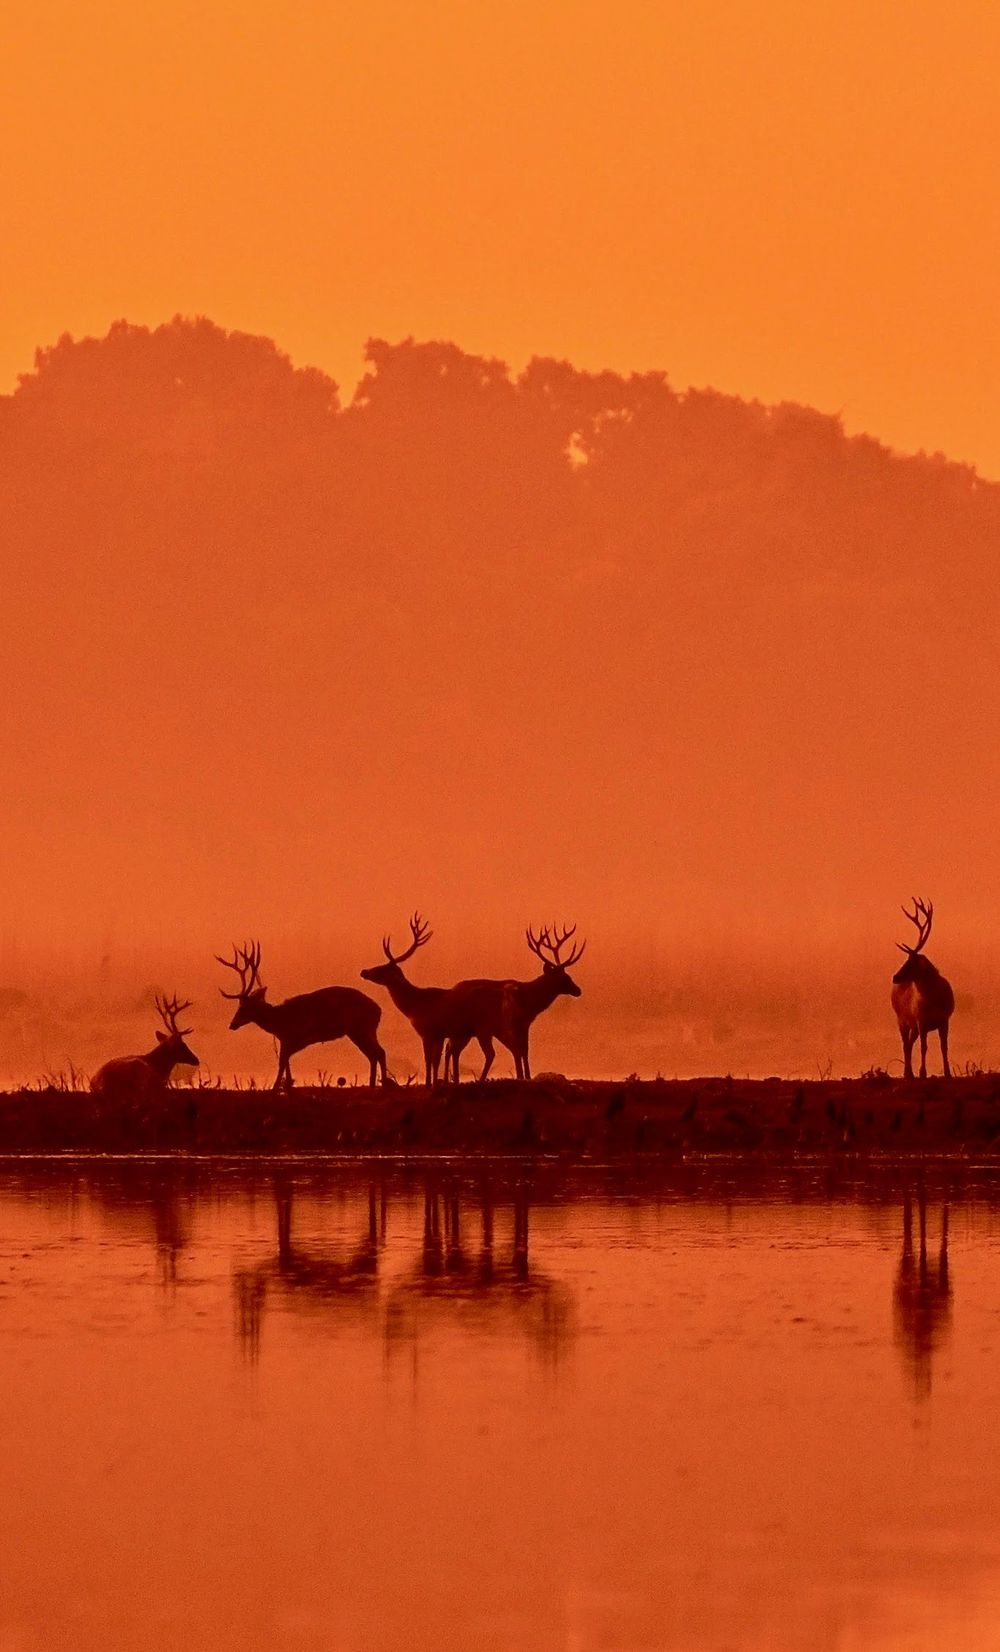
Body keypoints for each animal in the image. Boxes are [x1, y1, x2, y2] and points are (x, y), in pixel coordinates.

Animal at [217, 941, 388, 1089]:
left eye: (243, 1007)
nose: (232, 1024)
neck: (278, 1020)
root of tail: (378, 1010)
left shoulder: (292, 1038)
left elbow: (282, 1063)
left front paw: (275, 1088)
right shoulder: (287, 1041)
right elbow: (286, 1064)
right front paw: (287, 1086)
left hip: (361, 1028)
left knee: (379, 1052)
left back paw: (382, 1084)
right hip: (360, 1031)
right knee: (374, 1054)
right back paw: (373, 1084)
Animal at [360, 913, 472, 1085]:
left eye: (382, 968)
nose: (364, 972)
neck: (415, 1005)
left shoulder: (429, 1031)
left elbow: (429, 1060)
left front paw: (429, 1083)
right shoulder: (438, 1034)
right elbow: (435, 1060)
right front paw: (434, 1082)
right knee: (455, 1052)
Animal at [443, 923, 585, 1082]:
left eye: (568, 975)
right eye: (564, 977)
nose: (578, 990)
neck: (529, 1001)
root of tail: (453, 988)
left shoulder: (525, 1024)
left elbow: (525, 1050)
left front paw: (527, 1076)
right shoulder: (515, 1023)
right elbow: (520, 1050)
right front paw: (523, 1076)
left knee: (451, 1049)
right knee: (451, 1049)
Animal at [891, 897, 954, 1079]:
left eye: (910, 962)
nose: (895, 977)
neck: (933, 1000)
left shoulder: (944, 1019)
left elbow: (944, 1047)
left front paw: (948, 1072)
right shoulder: (921, 1020)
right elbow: (923, 1047)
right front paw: (923, 1073)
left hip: (913, 1025)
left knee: (909, 1043)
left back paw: (910, 1072)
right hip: (901, 1019)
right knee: (905, 1044)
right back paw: (908, 1073)